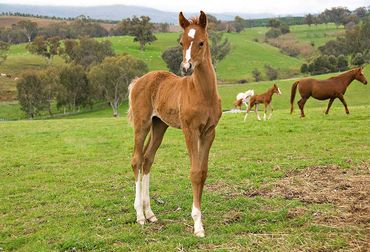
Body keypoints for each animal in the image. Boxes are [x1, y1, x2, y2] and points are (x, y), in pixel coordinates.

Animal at [127, 10, 221, 237]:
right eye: (181, 42)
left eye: (201, 42)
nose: (186, 67)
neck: (203, 93)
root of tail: (138, 81)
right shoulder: (190, 130)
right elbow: (194, 173)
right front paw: (197, 225)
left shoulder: (209, 132)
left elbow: (203, 172)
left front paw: (199, 220)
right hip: (142, 124)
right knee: (136, 160)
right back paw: (140, 216)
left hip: (159, 125)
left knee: (147, 160)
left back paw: (150, 214)